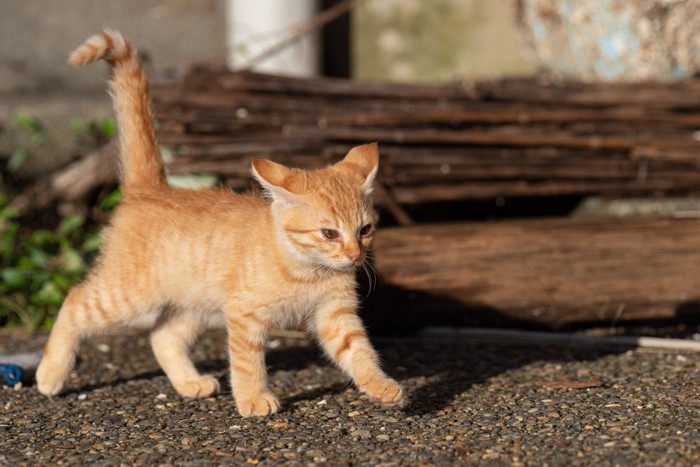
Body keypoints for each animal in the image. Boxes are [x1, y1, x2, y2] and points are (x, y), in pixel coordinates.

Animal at [34, 30, 404, 416]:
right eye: (329, 233)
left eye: (365, 230)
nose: (355, 256)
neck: (306, 270)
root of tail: (151, 188)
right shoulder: (243, 315)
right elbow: (246, 362)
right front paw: (253, 398)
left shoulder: (335, 314)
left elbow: (359, 351)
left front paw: (380, 385)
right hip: (128, 294)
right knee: (74, 301)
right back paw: (50, 374)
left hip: (196, 305)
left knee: (162, 336)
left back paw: (190, 383)